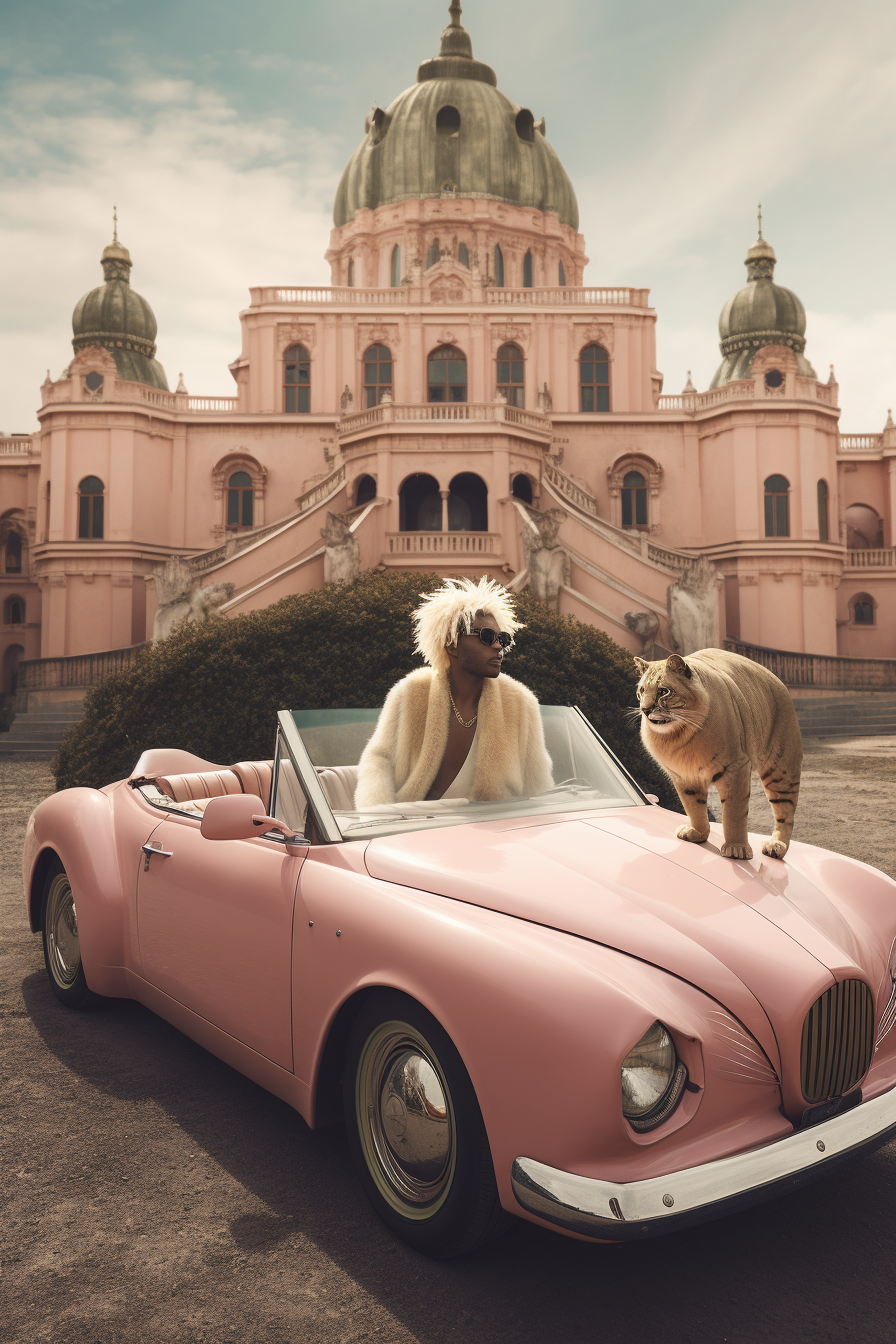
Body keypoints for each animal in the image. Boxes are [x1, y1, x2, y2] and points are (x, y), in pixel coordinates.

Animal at [634, 647, 800, 860]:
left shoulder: (735, 767)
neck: (678, 735)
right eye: (641, 691)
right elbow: (693, 807)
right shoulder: (683, 776)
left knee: (785, 814)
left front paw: (736, 848)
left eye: (663, 691)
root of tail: (777, 680)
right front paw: (697, 833)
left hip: (781, 771)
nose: (645, 710)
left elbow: (733, 813)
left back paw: (776, 846)